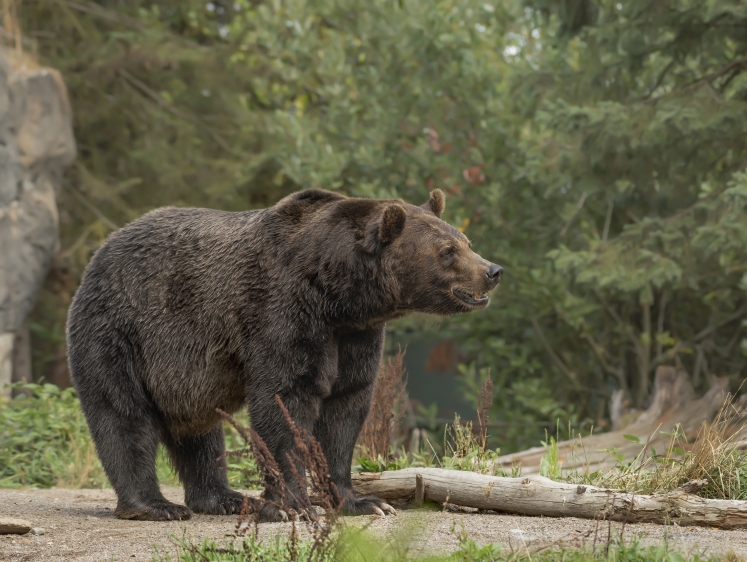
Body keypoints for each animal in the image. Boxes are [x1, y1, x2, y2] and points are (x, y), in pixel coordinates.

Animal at [67, 189, 506, 520]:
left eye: (466, 242)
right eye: (447, 250)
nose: (493, 270)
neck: (338, 294)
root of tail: (100, 251)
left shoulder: (355, 336)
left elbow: (345, 410)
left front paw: (363, 501)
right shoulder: (282, 312)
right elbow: (284, 401)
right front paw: (290, 505)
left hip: (184, 374)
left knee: (200, 432)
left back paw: (224, 498)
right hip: (121, 331)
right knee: (123, 415)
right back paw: (155, 506)